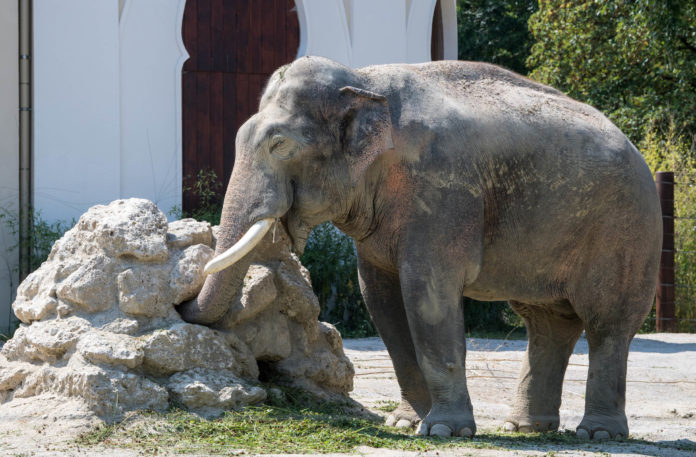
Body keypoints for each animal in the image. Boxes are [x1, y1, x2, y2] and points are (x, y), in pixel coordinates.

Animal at [177, 56, 660, 438]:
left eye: (279, 145)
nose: (181, 299)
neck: (364, 80)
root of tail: (638, 151)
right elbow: (380, 299)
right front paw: (406, 424)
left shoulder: (442, 193)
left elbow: (429, 294)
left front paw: (444, 430)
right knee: (547, 324)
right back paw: (525, 428)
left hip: (625, 232)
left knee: (607, 324)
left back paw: (598, 433)